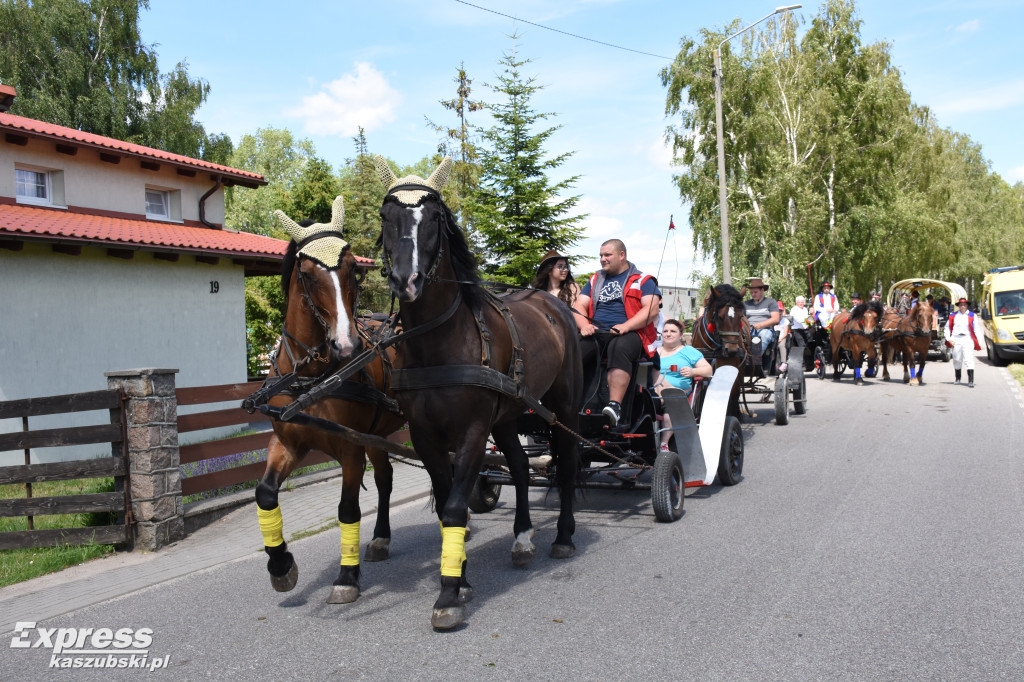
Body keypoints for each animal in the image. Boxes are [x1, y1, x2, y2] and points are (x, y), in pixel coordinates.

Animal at [251, 195, 403, 602]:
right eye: (306, 273)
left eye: (354, 269)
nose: (347, 346)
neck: (312, 378)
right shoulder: (287, 442)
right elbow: (265, 494)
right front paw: (280, 566)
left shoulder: (350, 449)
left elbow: (348, 509)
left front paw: (347, 576)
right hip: (378, 434)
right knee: (385, 478)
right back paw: (381, 539)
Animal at [376, 156, 585, 630]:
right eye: (386, 216)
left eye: (434, 218)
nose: (405, 280)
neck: (439, 341)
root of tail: (552, 303)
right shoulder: (425, 434)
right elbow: (448, 507)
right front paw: (461, 578)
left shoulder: (472, 430)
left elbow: (455, 507)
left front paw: (448, 595)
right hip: (507, 416)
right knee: (522, 468)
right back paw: (523, 539)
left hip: (564, 407)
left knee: (565, 466)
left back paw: (563, 537)